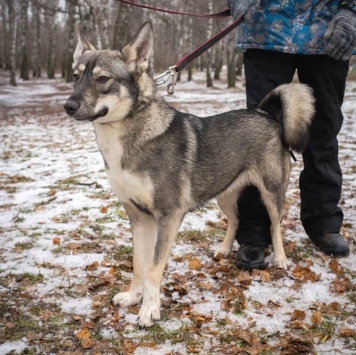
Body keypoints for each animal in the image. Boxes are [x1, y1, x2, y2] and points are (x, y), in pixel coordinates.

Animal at [63, 22, 314, 328]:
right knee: (236, 219)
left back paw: (279, 258)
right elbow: (138, 264)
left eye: (102, 79)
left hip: (271, 193)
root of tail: (266, 115)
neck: (127, 136)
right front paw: (134, 297)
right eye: (76, 76)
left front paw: (149, 310)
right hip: (224, 195)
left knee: (276, 225)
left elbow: (154, 269)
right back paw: (223, 249)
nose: (68, 106)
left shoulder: (168, 216)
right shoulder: (137, 217)